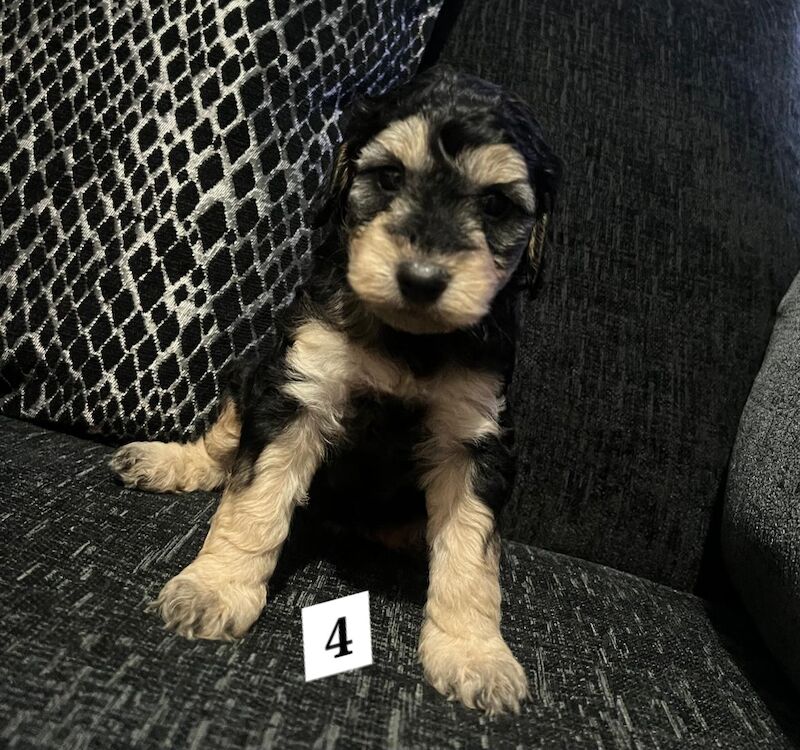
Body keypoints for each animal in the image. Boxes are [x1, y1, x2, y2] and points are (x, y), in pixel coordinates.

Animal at [111, 66, 564, 716]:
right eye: (389, 176)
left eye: (497, 204)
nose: (421, 279)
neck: (407, 340)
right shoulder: (296, 388)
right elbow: (252, 505)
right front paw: (215, 588)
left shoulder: (475, 439)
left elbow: (472, 555)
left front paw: (475, 654)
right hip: (251, 373)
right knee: (223, 446)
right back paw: (164, 461)